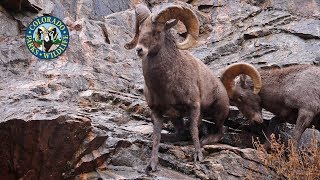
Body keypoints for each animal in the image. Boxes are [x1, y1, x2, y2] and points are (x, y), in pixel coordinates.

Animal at [124, 3, 230, 172]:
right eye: (140, 30)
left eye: (157, 32)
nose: (139, 50)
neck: (166, 84)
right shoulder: (156, 112)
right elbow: (156, 136)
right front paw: (152, 164)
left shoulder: (194, 107)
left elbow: (193, 130)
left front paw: (198, 156)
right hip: (175, 117)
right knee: (181, 133)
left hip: (219, 111)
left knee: (218, 132)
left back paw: (205, 140)